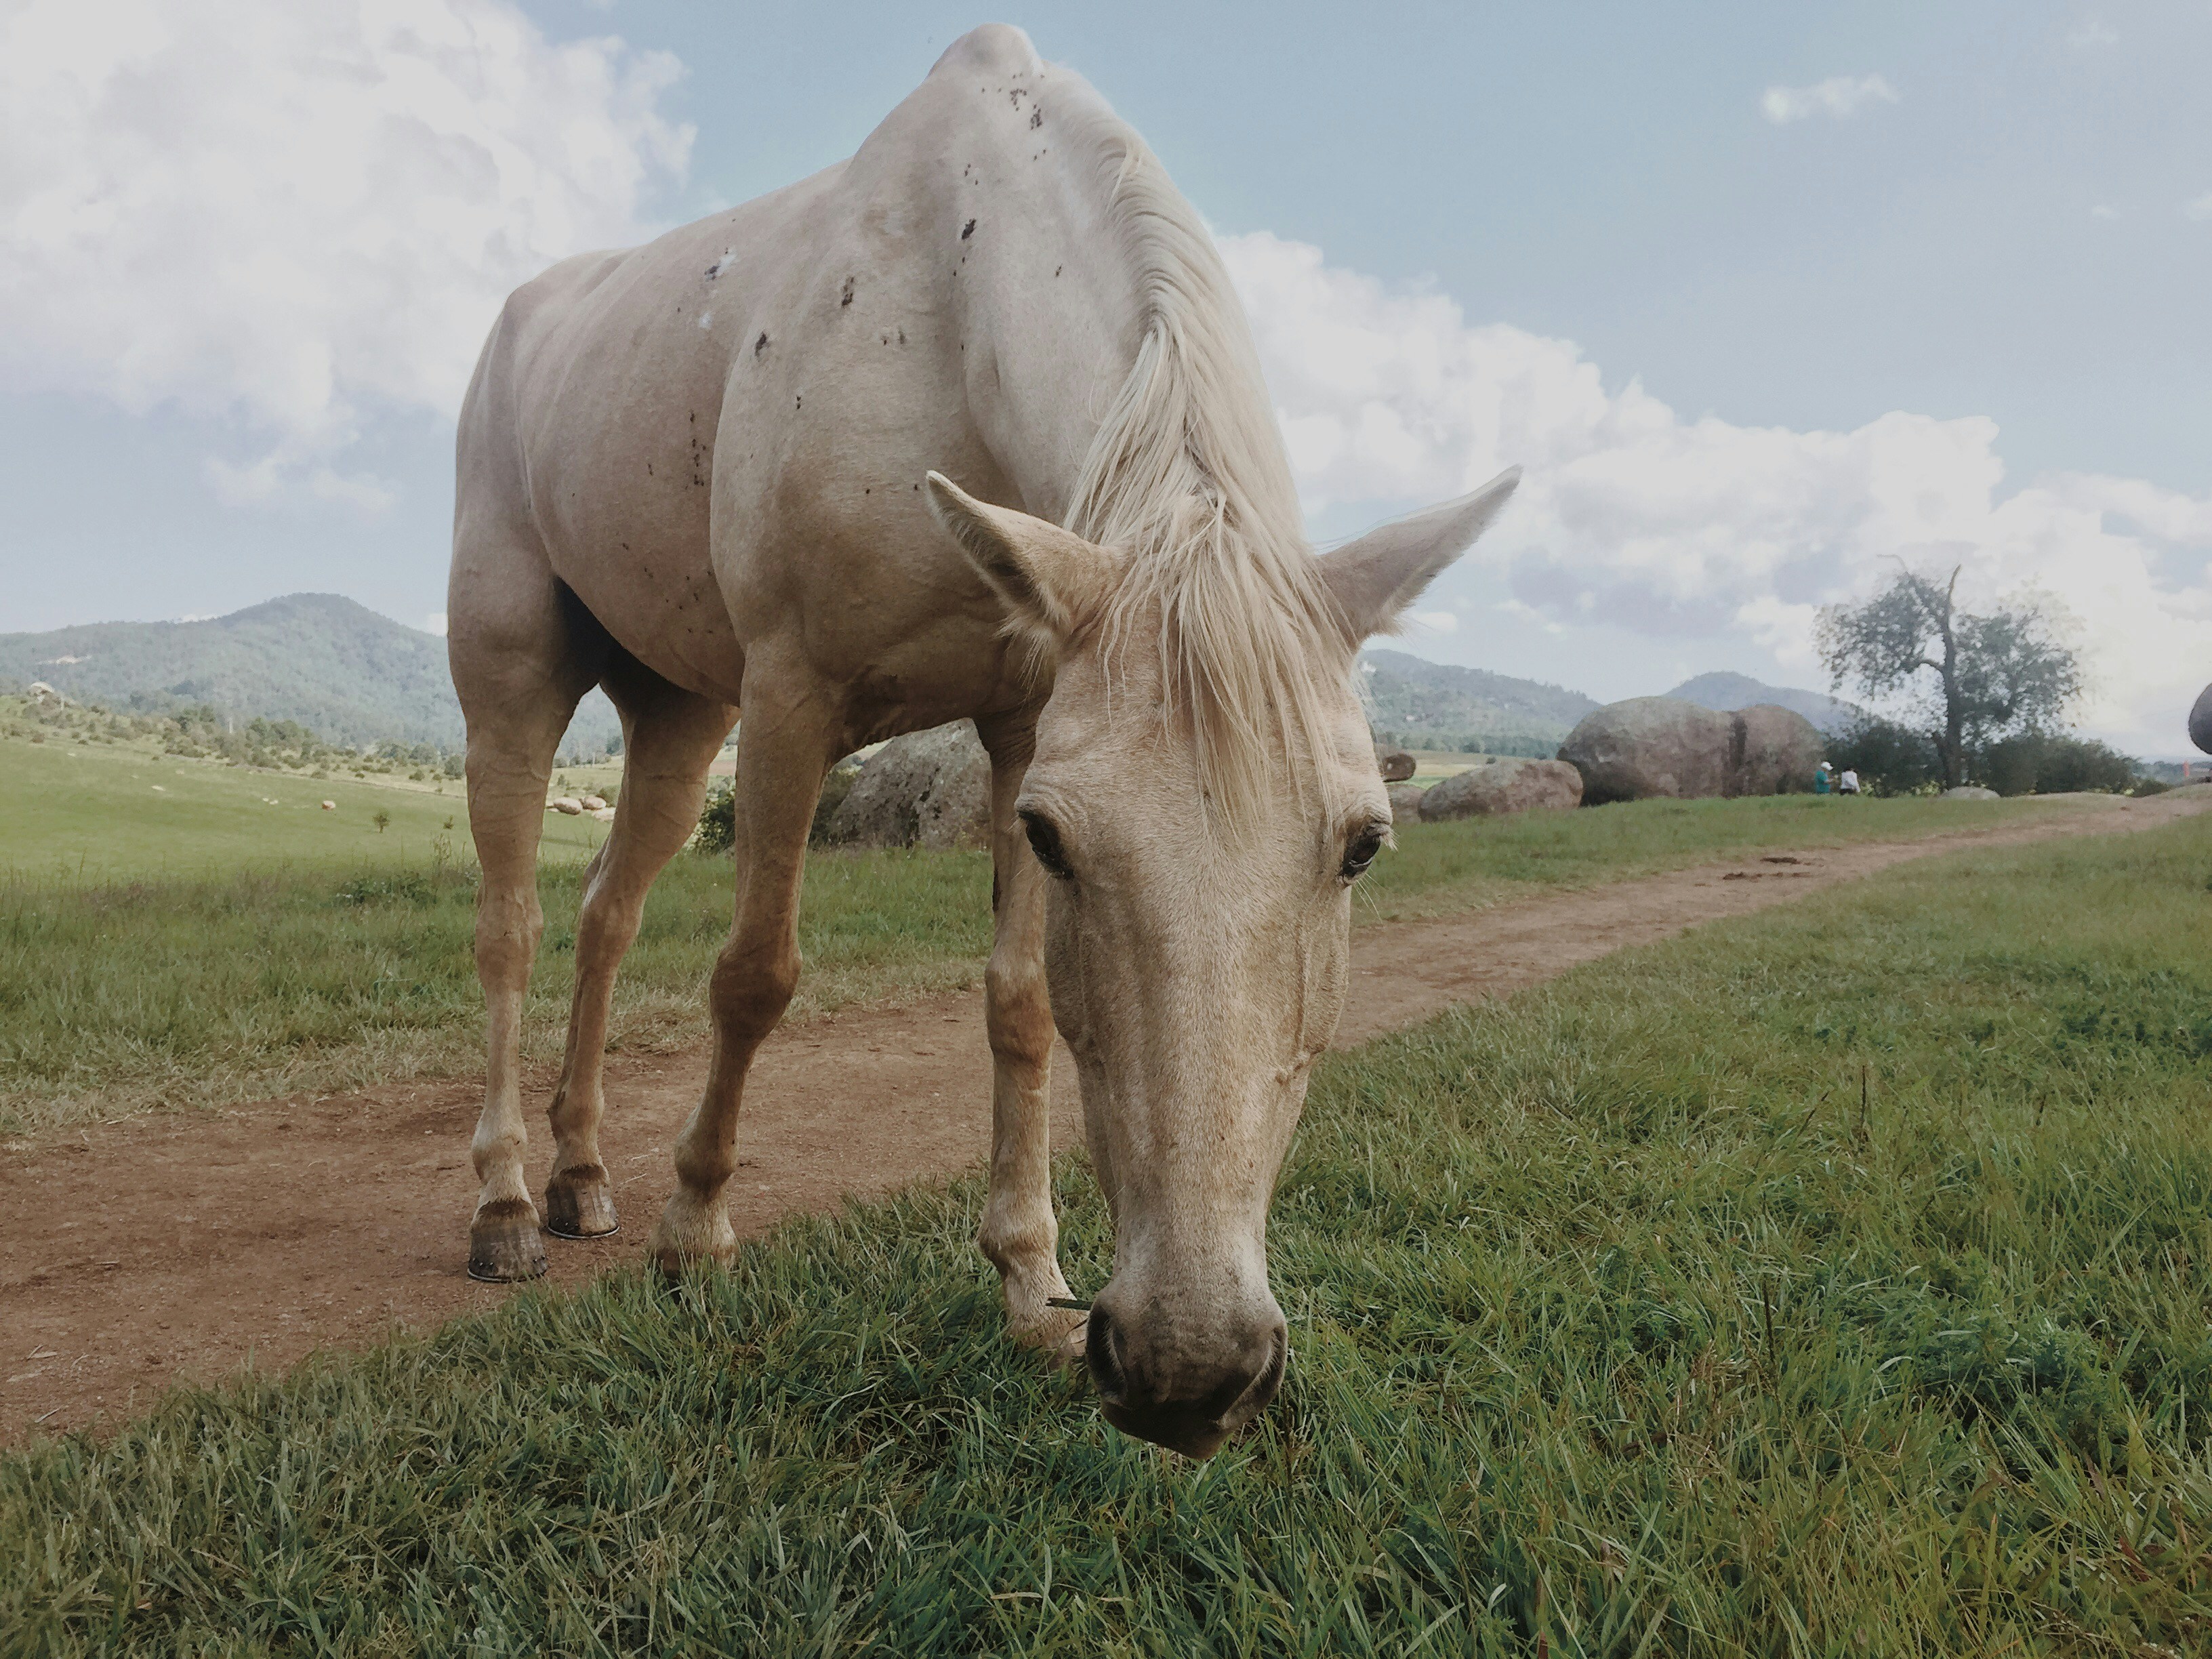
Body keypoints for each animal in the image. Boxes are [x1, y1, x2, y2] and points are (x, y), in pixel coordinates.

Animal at [449, 23, 1516, 1457]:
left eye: (1361, 846)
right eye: (1061, 840)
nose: (1188, 1369)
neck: (941, 314)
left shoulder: (1015, 721)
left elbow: (1018, 1005)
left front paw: (1025, 1276)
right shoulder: (793, 699)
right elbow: (754, 975)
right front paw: (697, 1230)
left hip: (676, 714)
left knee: (603, 916)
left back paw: (577, 1174)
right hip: (515, 676)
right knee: (510, 928)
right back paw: (509, 1201)